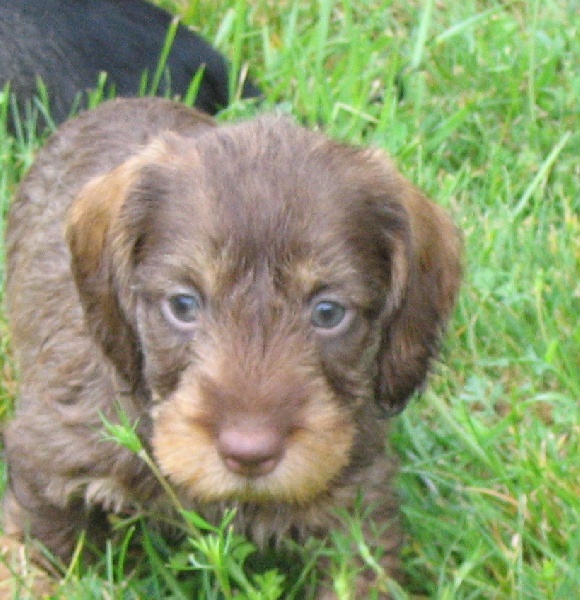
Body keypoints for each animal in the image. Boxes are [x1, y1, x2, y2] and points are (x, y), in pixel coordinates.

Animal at [1, 97, 462, 596]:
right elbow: (48, 556)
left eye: (328, 312)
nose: (249, 453)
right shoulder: (47, 471)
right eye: (183, 304)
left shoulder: (357, 502)